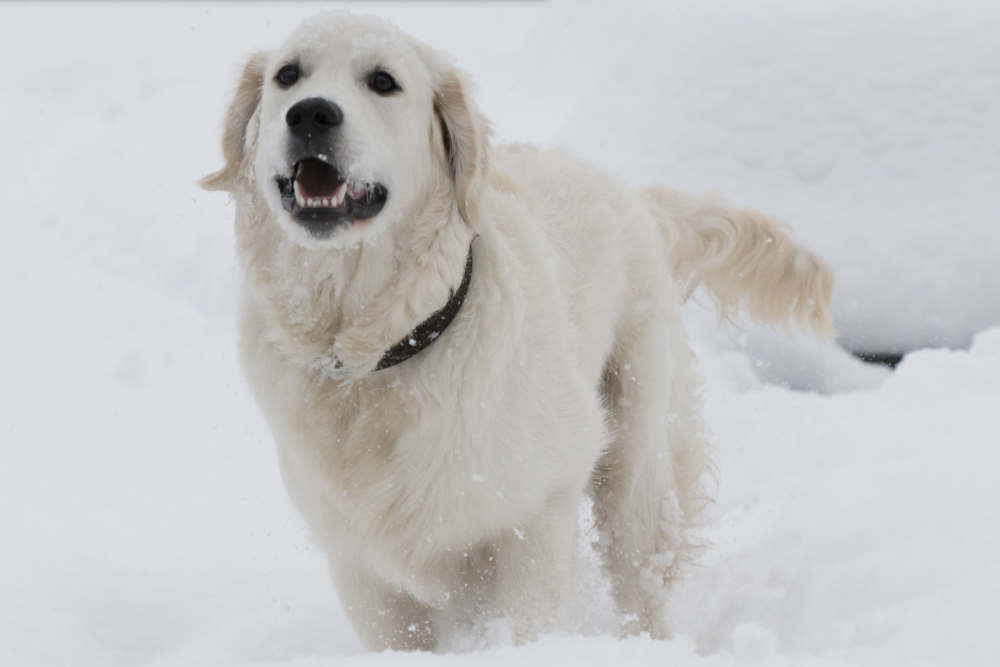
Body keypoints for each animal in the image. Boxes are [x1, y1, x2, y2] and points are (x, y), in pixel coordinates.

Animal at [199, 11, 832, 652]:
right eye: (287, 75)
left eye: (382, 81)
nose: (310, 114)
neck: (375, 351)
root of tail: (629, 193)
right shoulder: (359, 563)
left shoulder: (533, 521)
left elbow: (531, 619)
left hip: (635, 447)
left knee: (639, 576)